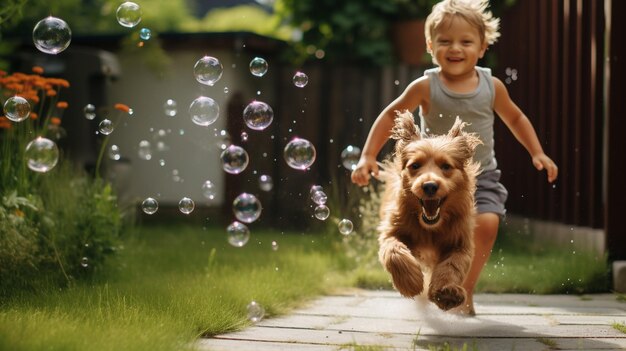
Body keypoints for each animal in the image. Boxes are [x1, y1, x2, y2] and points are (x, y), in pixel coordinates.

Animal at [376, 110, 478, 310]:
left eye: (446, 166)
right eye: (415, 166)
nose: (430, 186)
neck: (430, 228)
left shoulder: (460, 243)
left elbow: (452, 265)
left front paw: (446, 292)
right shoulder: (391, 231)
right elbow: (394, 252)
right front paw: (411, 282)